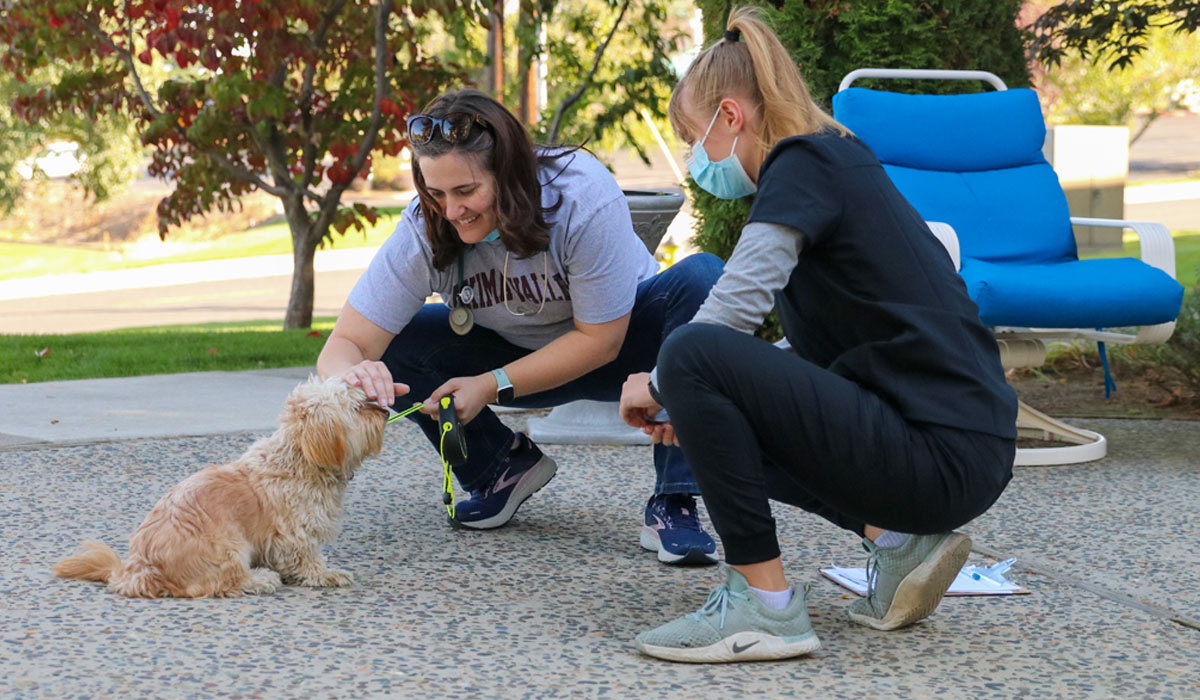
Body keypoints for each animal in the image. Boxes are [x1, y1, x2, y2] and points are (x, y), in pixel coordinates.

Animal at [56, 374, 386, 600]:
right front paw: (327, 574)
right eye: (359, 406)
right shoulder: (295, 534)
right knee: (225, 583)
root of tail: (140, 570)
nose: (384, 410)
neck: (300, 459)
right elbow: (307, 561)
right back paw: (260, 580)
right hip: (228, 546)